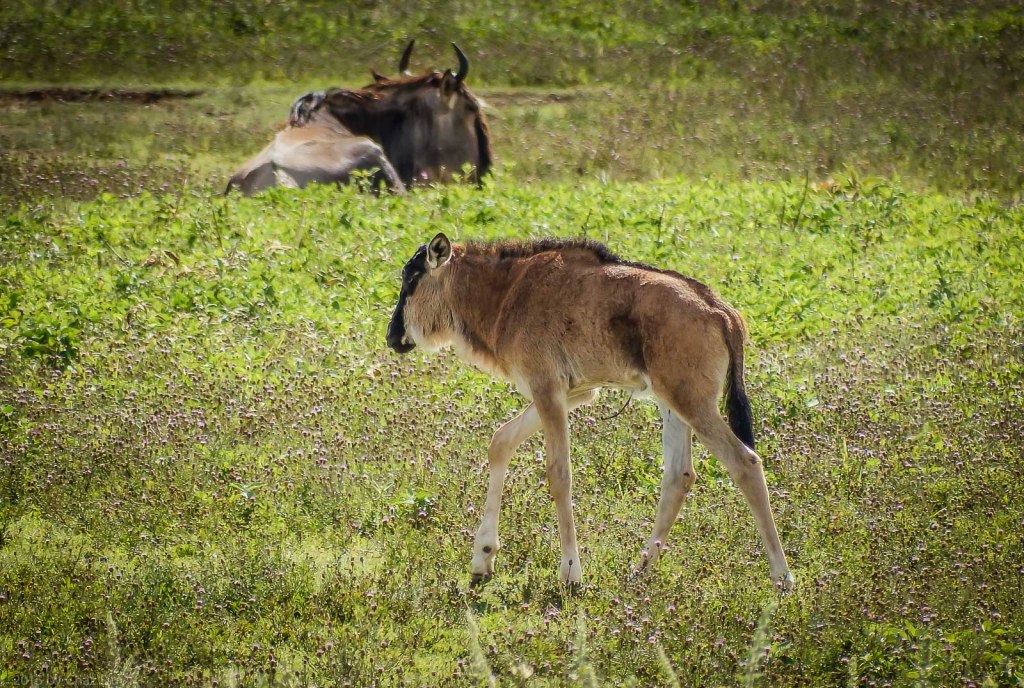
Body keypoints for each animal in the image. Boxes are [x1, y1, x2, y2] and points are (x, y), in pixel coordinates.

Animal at [386, 234, 795, 590]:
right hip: (672, 405)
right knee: (679, 475)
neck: (508, 292)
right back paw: (640, 570)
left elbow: (559, 476)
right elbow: (500, 442)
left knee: (745, 463)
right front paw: (482, 557)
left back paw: (783, 578)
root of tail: (722, 312)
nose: (392, 337)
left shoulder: (547, 390)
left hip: (694, 404)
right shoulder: (573, 393)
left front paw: (570, 571)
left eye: (411, 280)